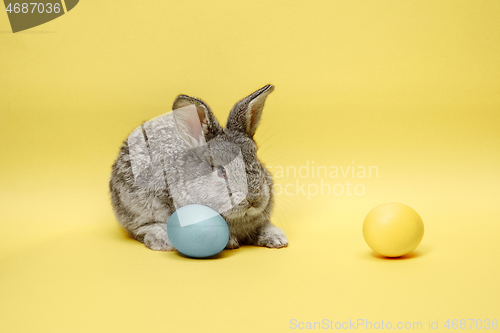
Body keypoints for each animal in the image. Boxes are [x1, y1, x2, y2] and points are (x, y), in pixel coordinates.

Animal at [109, 84, 290, 250]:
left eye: (256, 158)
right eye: (221, 171)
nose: (254, 198)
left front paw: (277, 239)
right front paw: (230, 242)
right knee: (140, 228)